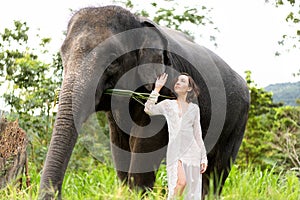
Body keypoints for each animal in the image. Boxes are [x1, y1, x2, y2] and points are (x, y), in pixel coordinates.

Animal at [38, 5, 250, 199]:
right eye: (63, 55)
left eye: (112, 59)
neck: (138, 21)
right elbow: (120, 145)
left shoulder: (166, 88)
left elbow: (144, 144)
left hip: (237, 123)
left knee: (216, 172)